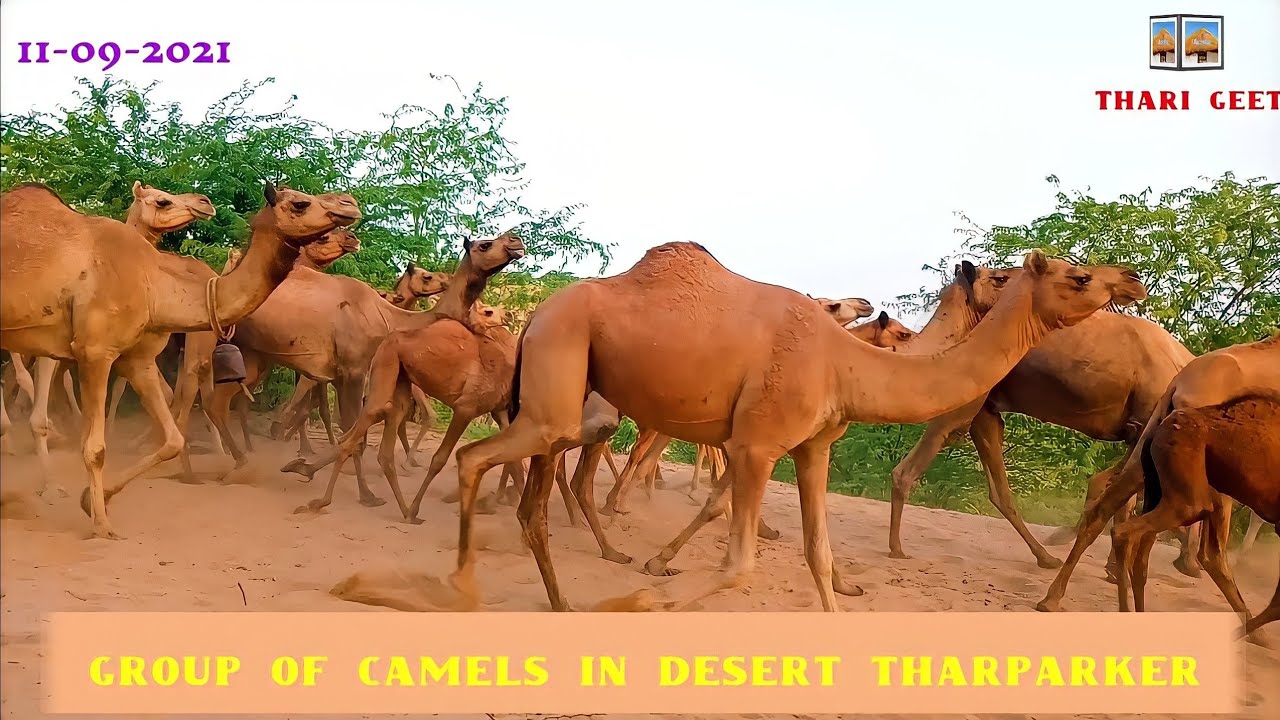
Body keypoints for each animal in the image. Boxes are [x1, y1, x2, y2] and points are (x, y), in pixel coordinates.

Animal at [0, 181, 360, 537]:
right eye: (299, 203)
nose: (350, 204)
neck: (152, 282)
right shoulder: (95, 351)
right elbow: (95, 448)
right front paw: (101, 524)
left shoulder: (138, 359)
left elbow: (173, 438)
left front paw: (90, 499)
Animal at [207, 232, 510, 510]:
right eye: (485, 245)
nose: (514, 244)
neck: (390, 319)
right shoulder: (352, 372)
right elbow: (352, 433)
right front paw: (364, 494)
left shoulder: (347, 375)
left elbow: (352, 431)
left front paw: (307, 467)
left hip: (251, 355)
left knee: (220, 403)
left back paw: (238, 462)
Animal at [449, 242, 1145, 612]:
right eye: (1079, 275)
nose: (1131, 278)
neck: (844, 359)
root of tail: (537, 310)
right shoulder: (755, 443)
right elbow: (737, 565)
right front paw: (650, 586)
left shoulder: (812, 447)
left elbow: (817, 553)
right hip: (561, 376)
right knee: (477, 457)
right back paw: (466, 584)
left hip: (562, 400)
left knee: (526, 486)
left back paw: (552, 596)